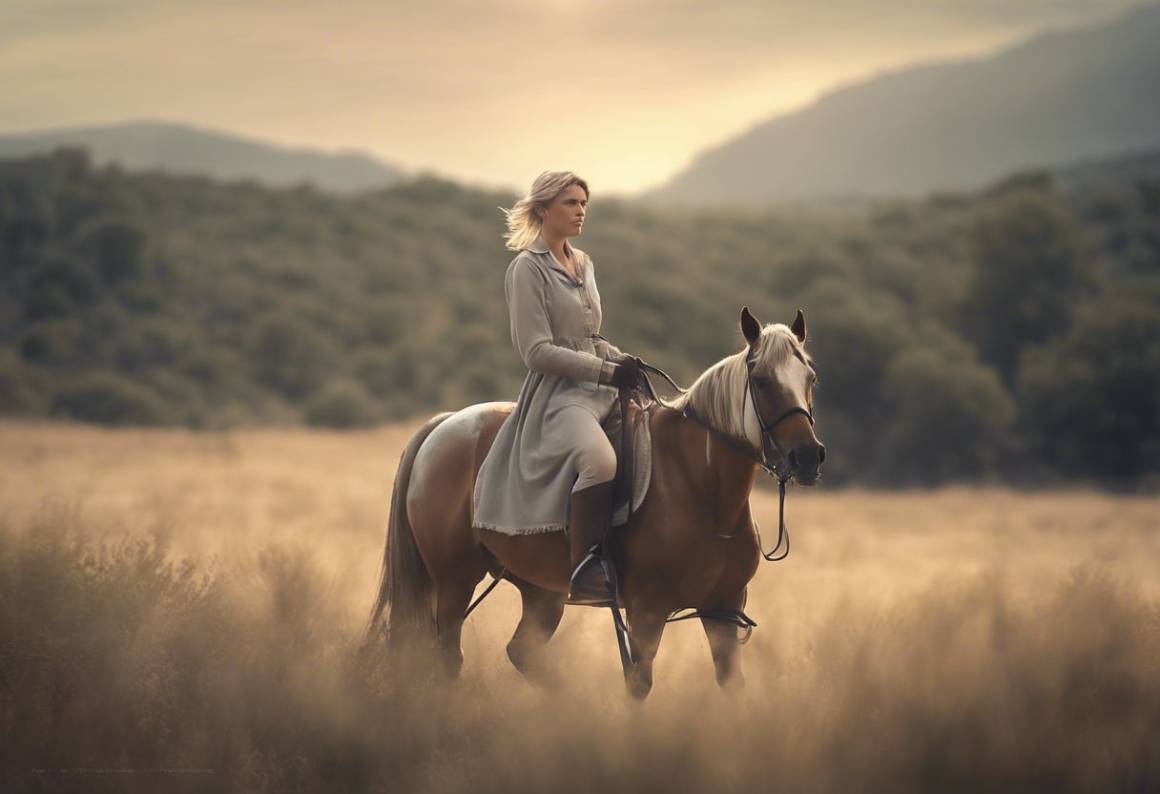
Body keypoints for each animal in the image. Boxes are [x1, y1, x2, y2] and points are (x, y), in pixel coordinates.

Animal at [366, 306, 821, 696]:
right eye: (761, 380)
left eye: (810, 378)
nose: (808, 457)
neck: (702, 488)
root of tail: (444, 425)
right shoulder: (647, 611)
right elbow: (639, 685)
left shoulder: (722, 610)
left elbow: (731, 686)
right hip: (454, 580)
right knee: (447, 657)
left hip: (539, 592)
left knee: (522, 652)